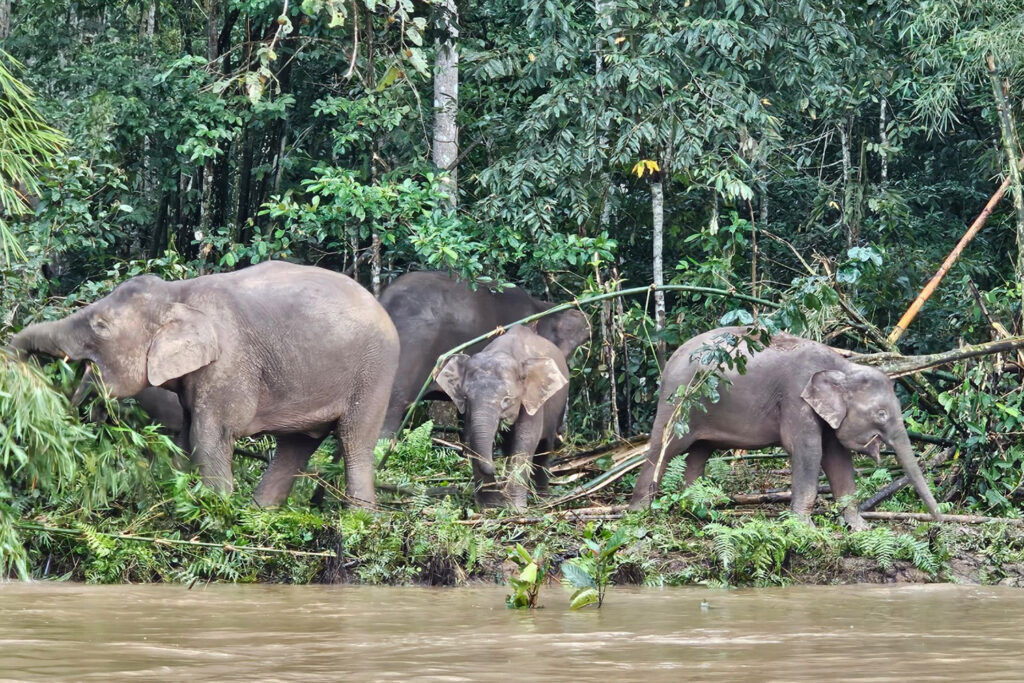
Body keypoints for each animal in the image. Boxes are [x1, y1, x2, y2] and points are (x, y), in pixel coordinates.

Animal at [12, 262, 397, 507]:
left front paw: (217, 510)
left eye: (100, 326)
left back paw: (358, 522)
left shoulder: (228, 363)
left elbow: (209, 435)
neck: (178, 293)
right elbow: (184, 436)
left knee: (355, 443)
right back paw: (259, 517)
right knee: (295, 446)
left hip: (375, 374)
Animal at [436, 325, 573, 507]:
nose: (495, 467)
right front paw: (490, 506)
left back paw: (542, 498)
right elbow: (472, 439)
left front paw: (515, 508)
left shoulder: (533, 401)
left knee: (544, 448)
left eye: (507, 399)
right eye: (466, 398)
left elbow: (525, 441)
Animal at [626, 325, 946, 528]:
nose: (941, 522)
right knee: (664, 447)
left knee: (700, 452)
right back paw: (637, 513)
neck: (842, 366)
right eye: (880, 414)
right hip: (678, 401)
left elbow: (838, 459)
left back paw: (701, 513)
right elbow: (808, 451)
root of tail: (669, 360)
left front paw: (860, 528)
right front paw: (805, 528)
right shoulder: (796, 397)